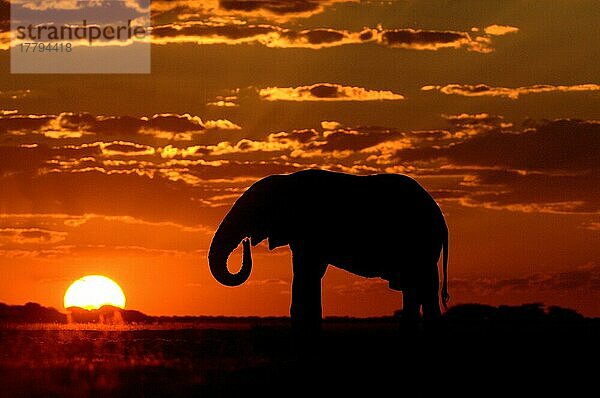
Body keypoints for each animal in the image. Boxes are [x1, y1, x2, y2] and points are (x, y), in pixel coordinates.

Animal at [209, 169, 448, 332]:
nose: (245, 241)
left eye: (254, 210)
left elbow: (307, 273)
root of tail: (441, 219)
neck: (287, 180)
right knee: (415, 290)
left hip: (421, 246)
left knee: (422, 289)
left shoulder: (311, 232)